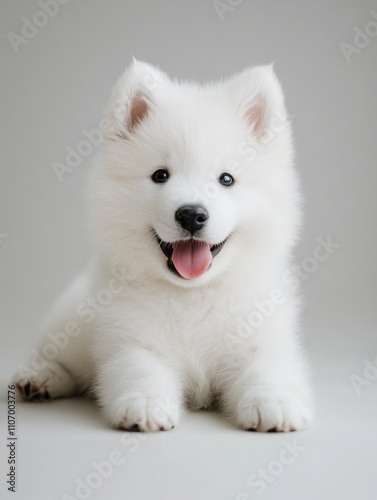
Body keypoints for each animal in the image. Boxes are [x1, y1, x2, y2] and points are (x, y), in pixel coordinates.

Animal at [14, 60, 312, 432]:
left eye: (226, 179)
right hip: (70, 321)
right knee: (59, 354)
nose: (192, 215)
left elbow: (267, 367)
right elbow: (140, 369)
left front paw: (273, 402)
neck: (192, 296)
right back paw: (40, 377)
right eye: (160, 175)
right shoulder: (130, 340)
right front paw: (144, 404)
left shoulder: (262, 337)